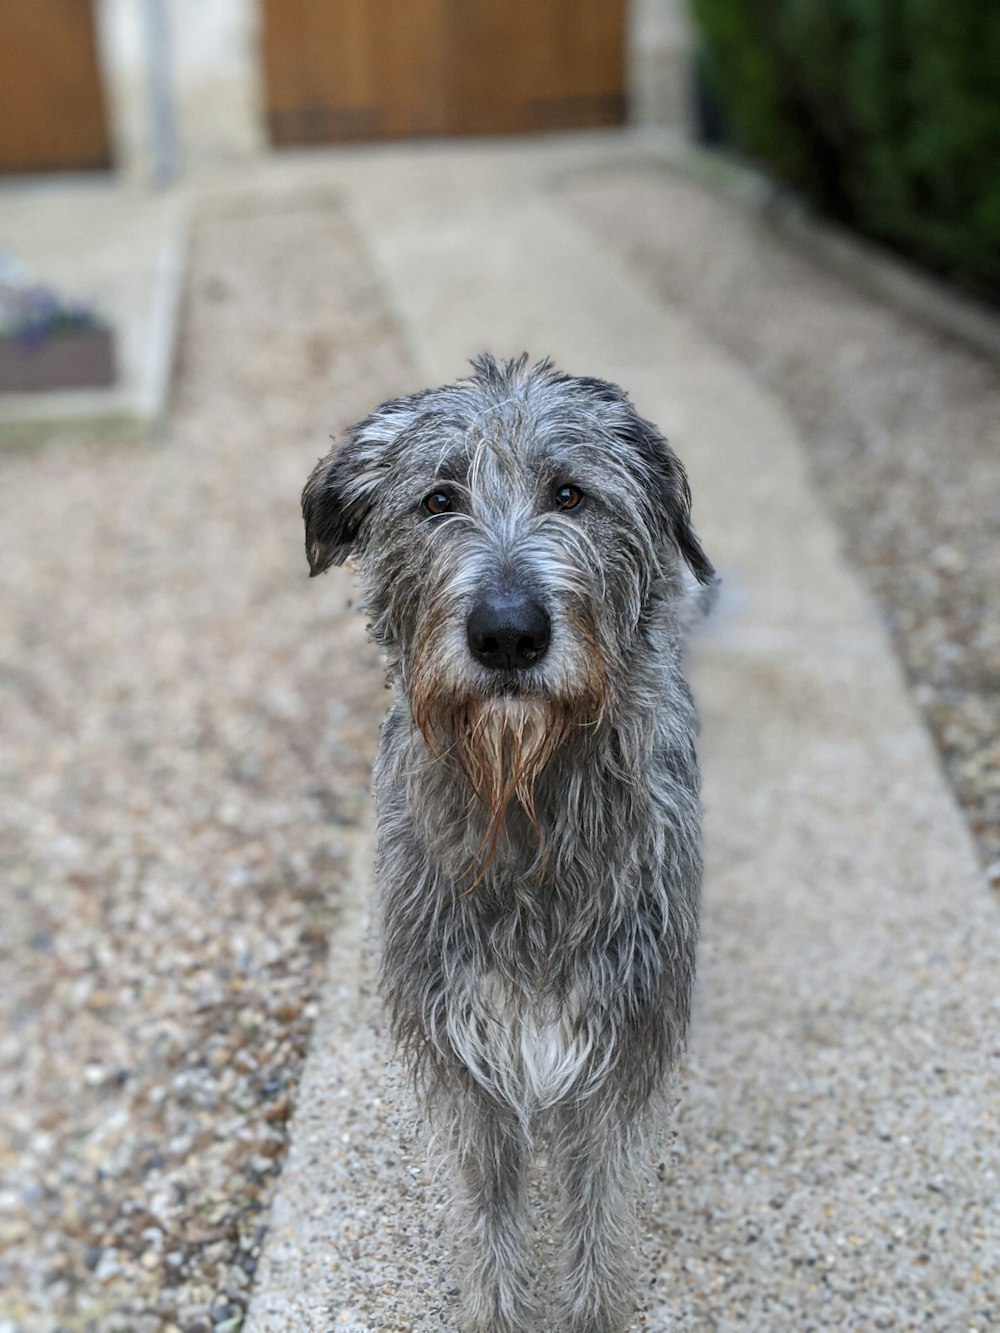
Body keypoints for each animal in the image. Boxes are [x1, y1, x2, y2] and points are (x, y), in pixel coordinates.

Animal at [301, 357, 714, 1333]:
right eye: (438, 498)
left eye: (570, 492)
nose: (508, 632)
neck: (521, 809)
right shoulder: (466, 1060)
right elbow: (488, 1218)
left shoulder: (619, 1052)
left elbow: (599, 1222)